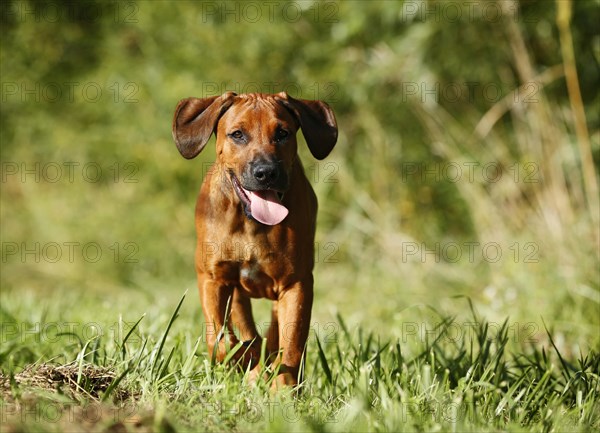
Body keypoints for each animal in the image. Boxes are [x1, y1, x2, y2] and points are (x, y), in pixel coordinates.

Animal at [171, 92, 338, 388]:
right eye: (237, 134)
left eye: (282, 133)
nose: (266, 172)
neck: (251, 223)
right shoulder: (212, 278)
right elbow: (221, 339)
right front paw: (248, 360)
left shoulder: (297, 283)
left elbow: (290, 344)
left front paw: (282, 390)